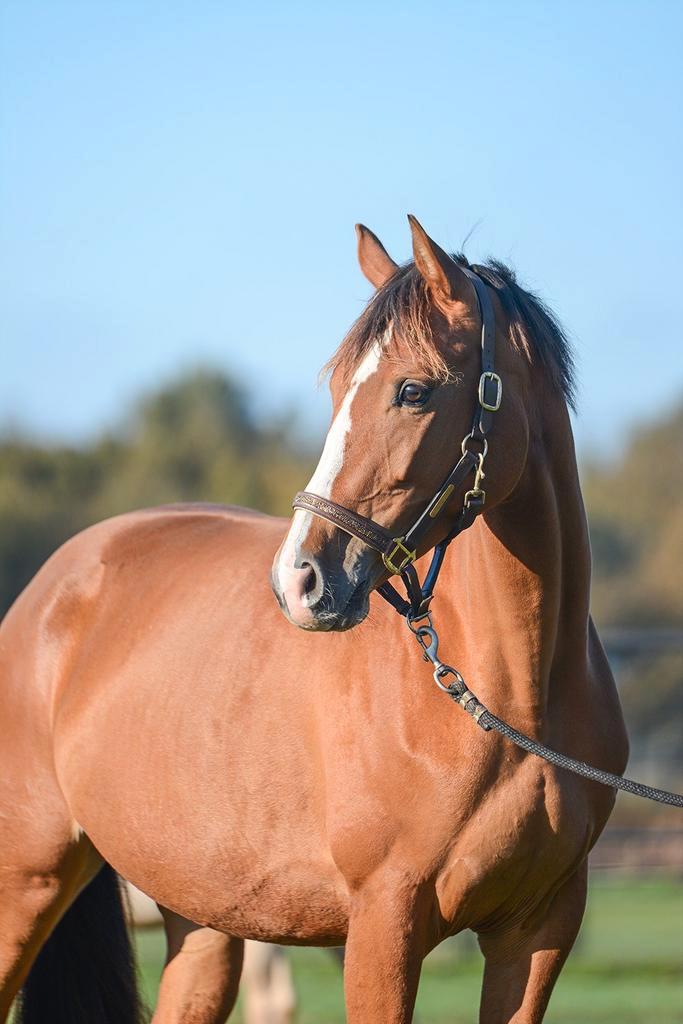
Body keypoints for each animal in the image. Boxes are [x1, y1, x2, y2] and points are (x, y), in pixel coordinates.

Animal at [0, 215, 628, 1023]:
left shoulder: (539, 930)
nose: (299, 580)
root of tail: (50, 590)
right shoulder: (384, 923)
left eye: (414, 390)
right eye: (336, 387)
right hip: (28, 883)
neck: (511, 701)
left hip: (202, 921)